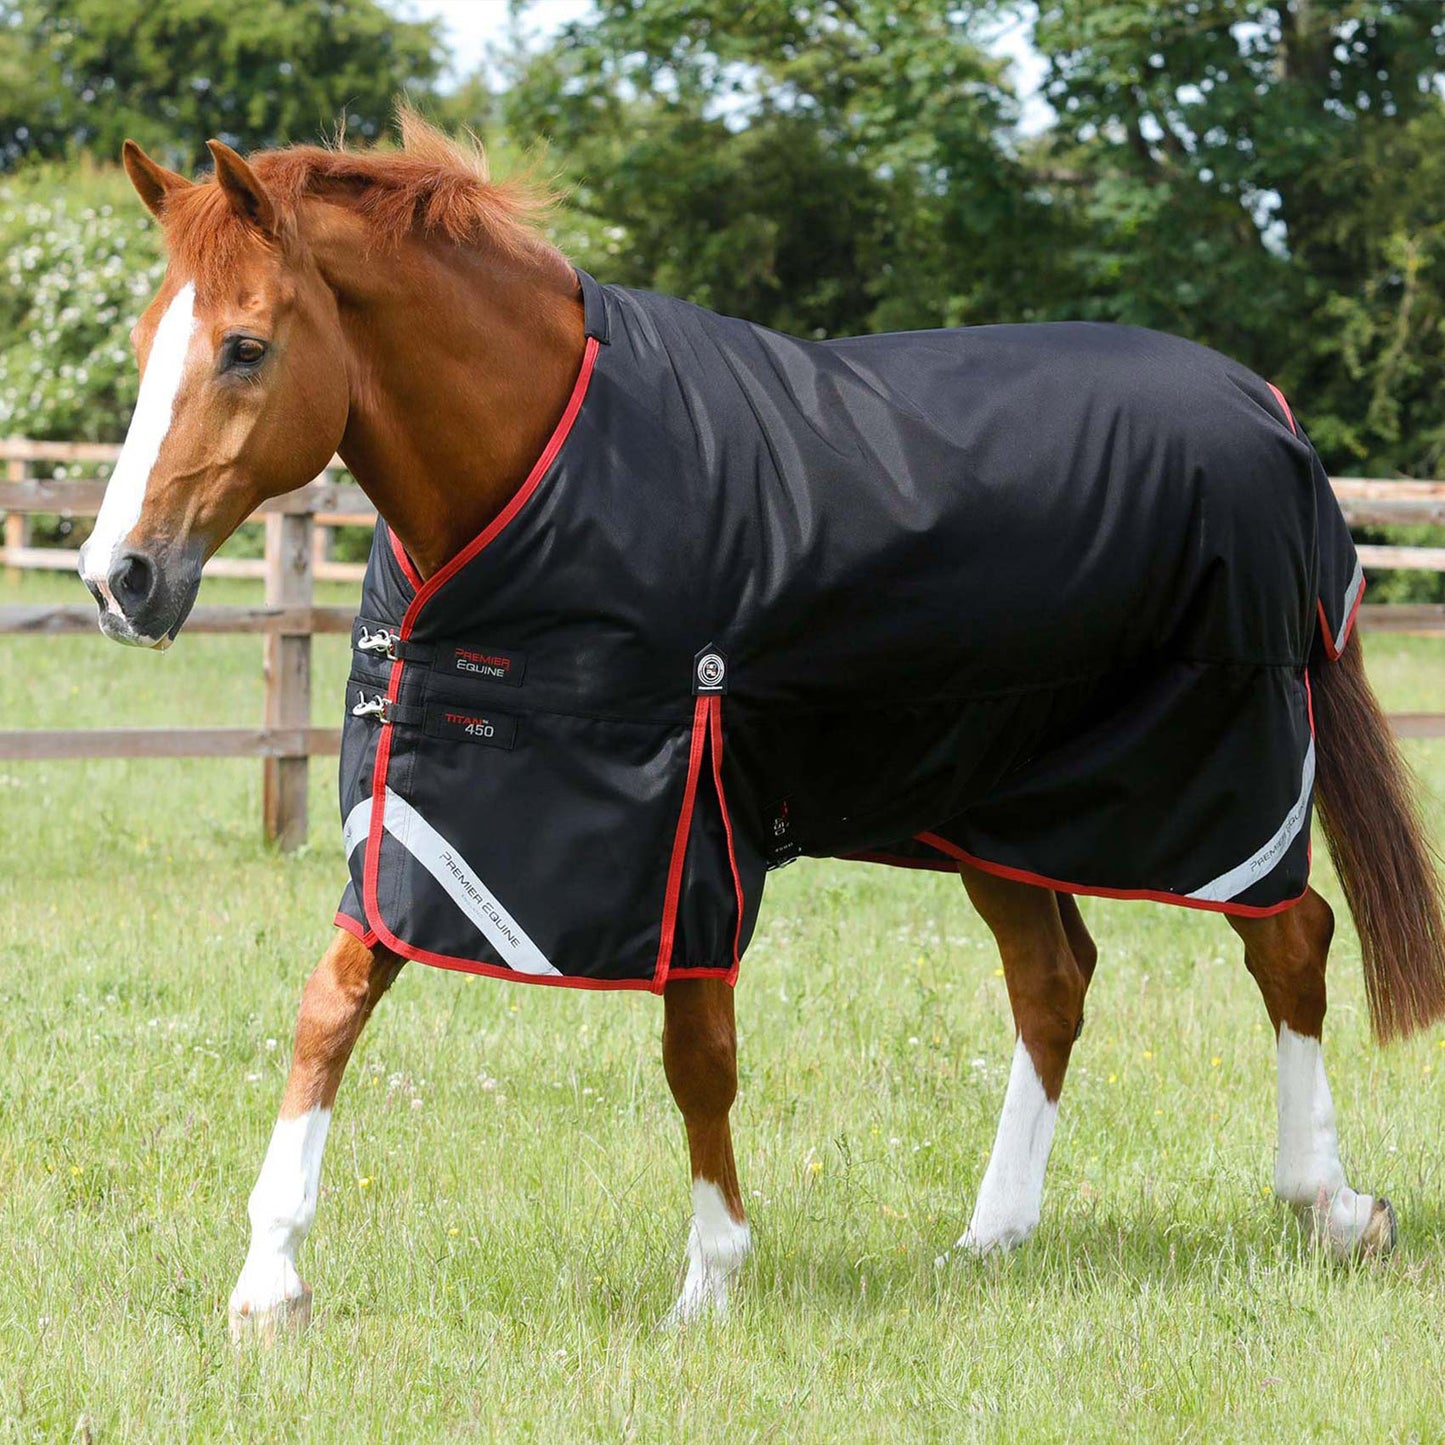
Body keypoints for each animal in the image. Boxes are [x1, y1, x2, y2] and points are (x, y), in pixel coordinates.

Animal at [83, 113, 1445, 1342]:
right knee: (1052, 982)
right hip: (993, 799)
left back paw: (1331, 1205)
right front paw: (267, 1285)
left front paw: (710, 1279)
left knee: (1288, 941)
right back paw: (991, 1234)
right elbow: (331, 1004)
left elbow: (697, 1051)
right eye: (150, 341)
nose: (118, 577)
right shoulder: (434, 817)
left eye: (245, 346)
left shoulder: (684, 816)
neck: (549, 470)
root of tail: (1264, 402)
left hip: (1228, 771)